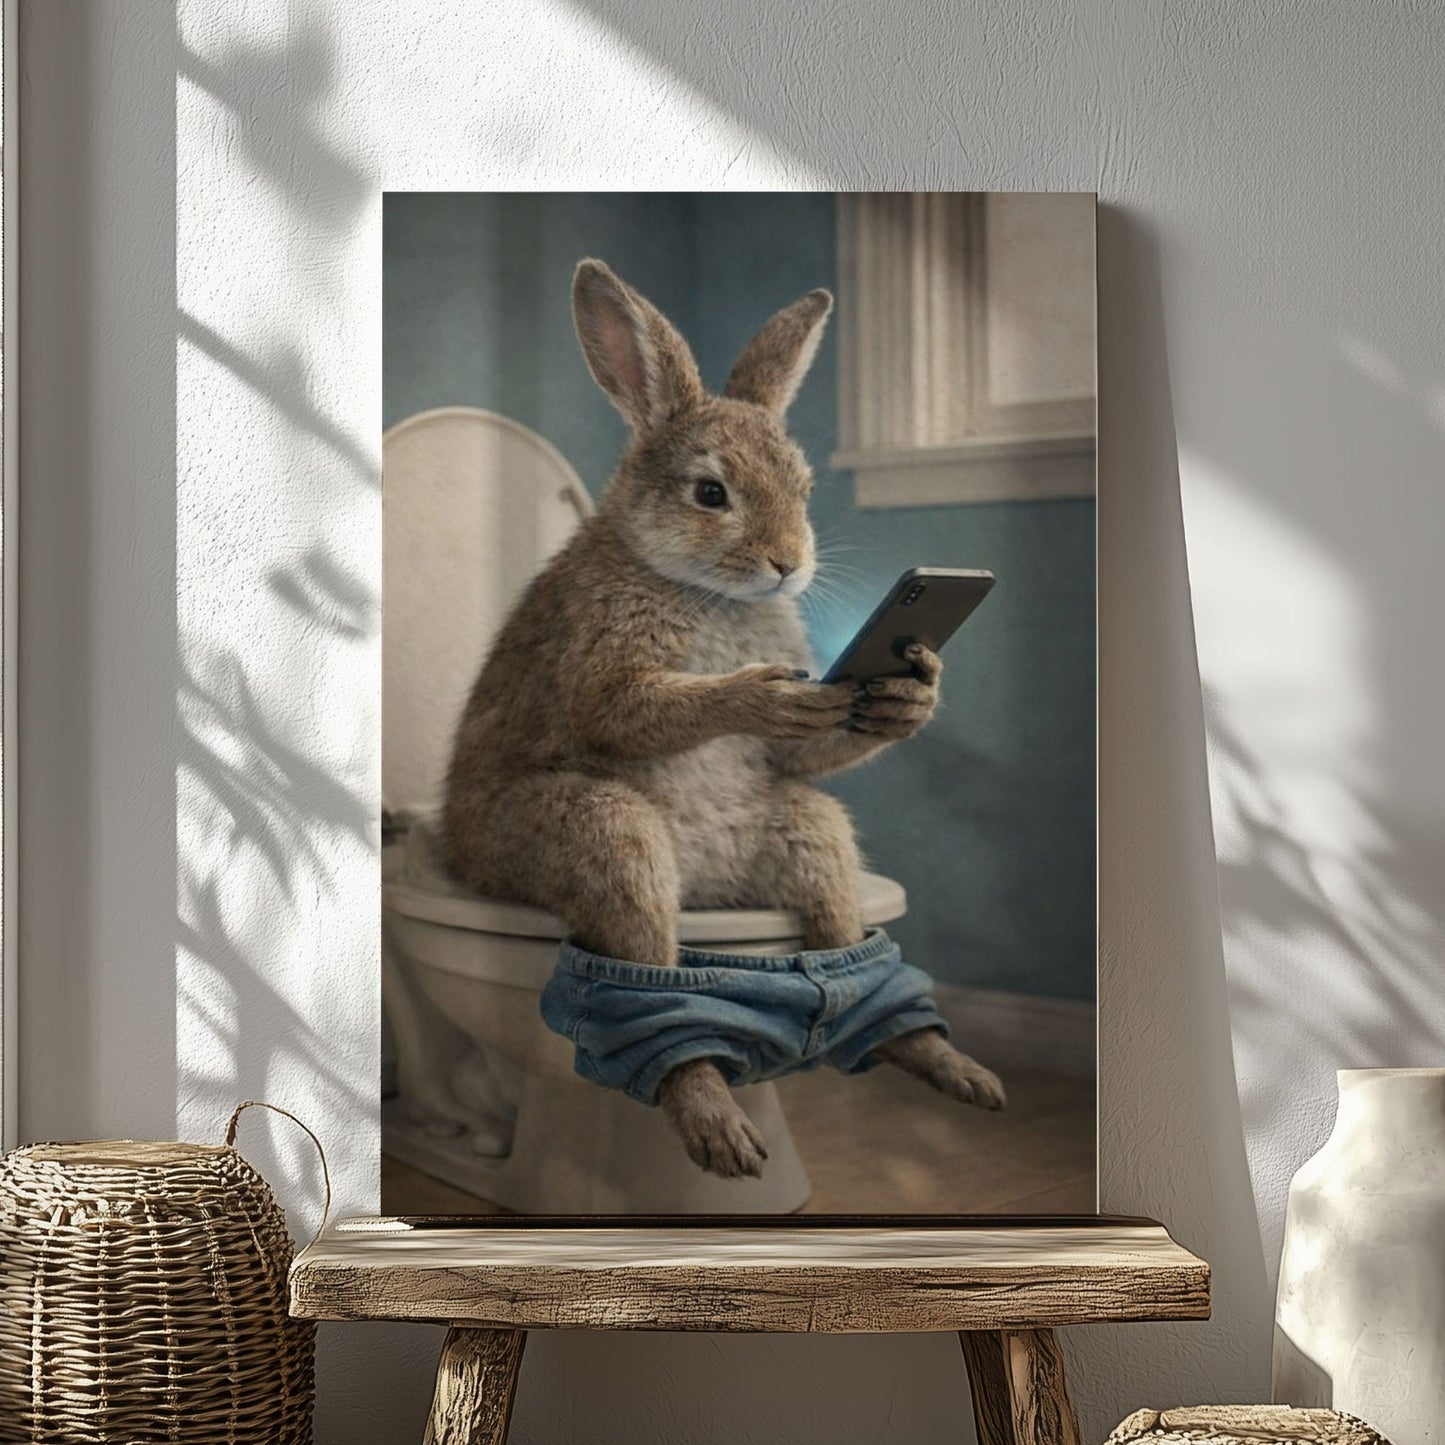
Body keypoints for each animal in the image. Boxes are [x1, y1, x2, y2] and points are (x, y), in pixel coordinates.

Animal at [441, 258, 1005, 1180]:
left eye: (804, 491)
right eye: (711, 493)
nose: (787, 562)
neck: (698, 584)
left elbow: (812, 747)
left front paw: (911, 690)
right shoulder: (603, 666)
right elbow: (627, 709)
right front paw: (763, 693)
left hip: (808, 840)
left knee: (834, 926)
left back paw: (942, 1064)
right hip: (597, 836)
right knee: (646, 987)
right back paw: (716, 1123)